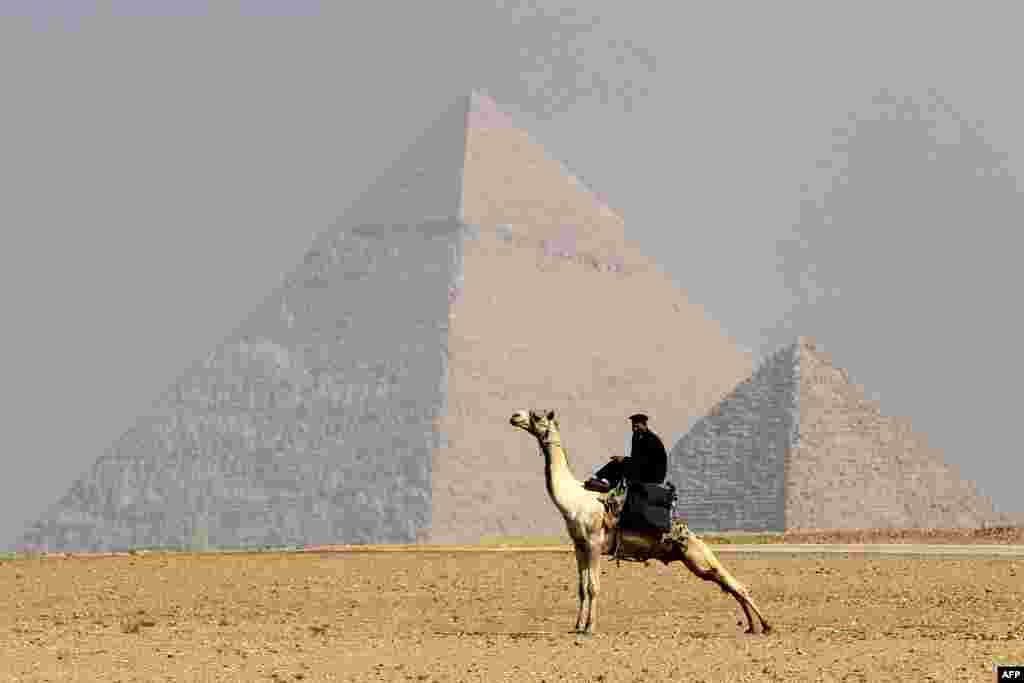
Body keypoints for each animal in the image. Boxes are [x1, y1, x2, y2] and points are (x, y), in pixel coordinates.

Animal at [507, 405, 770, 634]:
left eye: (538, 416)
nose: (515, 416)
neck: (574, 498)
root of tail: (685, 529)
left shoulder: (594, 543)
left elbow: (593, 587)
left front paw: (590, 628)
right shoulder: (579, 546)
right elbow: (581, 587)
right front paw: (577, 626)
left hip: (697, 554)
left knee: (733, 582)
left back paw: (765, 625)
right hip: (693, 560)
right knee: (726, 583)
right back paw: (753, 626)